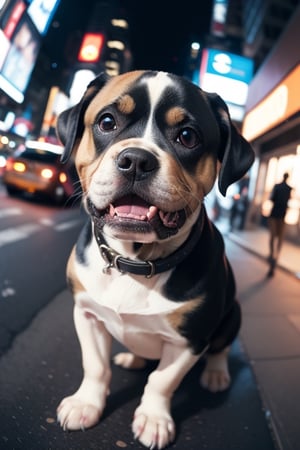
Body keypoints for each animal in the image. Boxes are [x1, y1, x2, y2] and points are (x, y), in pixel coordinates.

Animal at [55, 69, 253, 446]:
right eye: (106, 122)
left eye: (187, 136)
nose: (136, 159)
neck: (135, 260)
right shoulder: (85, 313)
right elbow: (95, 365)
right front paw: (86, 404)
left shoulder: (190, 340)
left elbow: (161, 382)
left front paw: (154, 419)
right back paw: (133, 356)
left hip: (234, 314)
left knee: (221, 348)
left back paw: (216, 374)